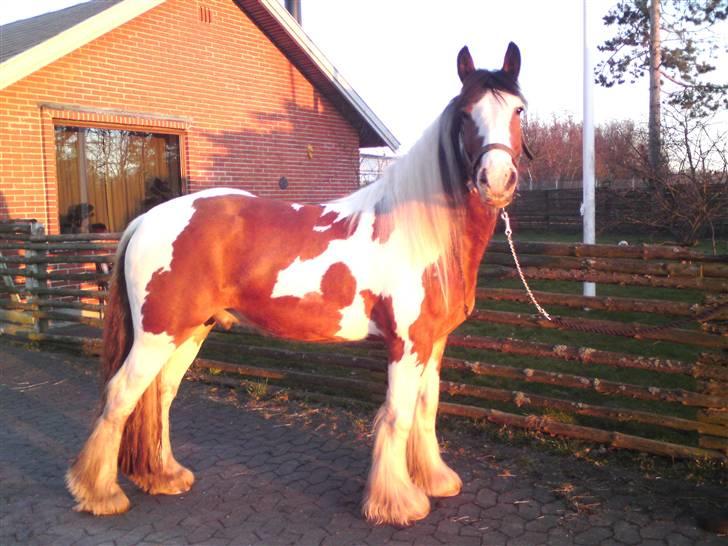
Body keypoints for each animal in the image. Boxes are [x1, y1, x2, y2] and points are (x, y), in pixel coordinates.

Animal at [65, 40, 528, 524]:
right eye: (466, 114)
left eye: (518, 109)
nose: (497, 180)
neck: (419, 230)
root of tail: (146, 220)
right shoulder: (407, 344)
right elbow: (398, 415)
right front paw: (396, 502)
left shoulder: (433, 342)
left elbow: (426, 410)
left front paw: (435, 480)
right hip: (158, 335)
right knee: (120, 396)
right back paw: (99, 493)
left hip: (189, 332)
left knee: (161, 396)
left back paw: (164, 476)